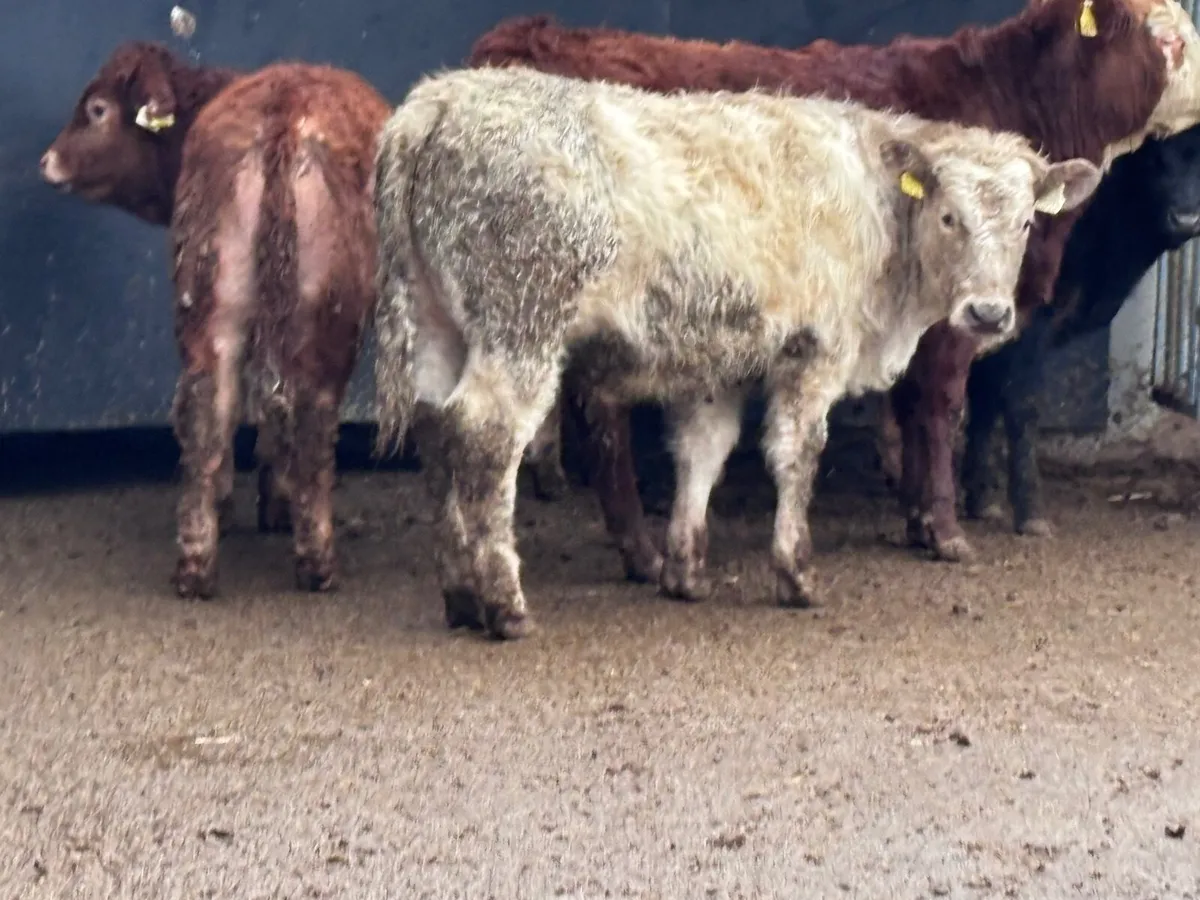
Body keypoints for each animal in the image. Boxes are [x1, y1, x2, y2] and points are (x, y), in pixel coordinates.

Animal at [40, 41, 390, 597]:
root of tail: (282, 113)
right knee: (308, 412)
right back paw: (315, 560)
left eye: (97, 110)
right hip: (323, 318)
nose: (47, 161)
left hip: (213, 305)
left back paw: (197, 560)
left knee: (209, 405)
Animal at [371, 65, 1100, 640]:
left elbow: (704, 451)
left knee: (435, 429)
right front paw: (796, 573)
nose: (989, 313)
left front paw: (685, 570)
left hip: (437, 327)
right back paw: (504, 603)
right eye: (950, 216)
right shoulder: (816, 350)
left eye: (1026, 222)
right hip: (521, 328)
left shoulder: (718, 363)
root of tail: (441, 97)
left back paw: (460, 597)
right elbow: (796, 455)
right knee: (487, 438)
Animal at [467, 0, 1200, 579]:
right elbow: (942, 406)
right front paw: (945, 527)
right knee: (600, 414)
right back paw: (638, 549)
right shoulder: (955, 319)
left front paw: (918, 510)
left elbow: (915, 406)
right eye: (1170, 39)